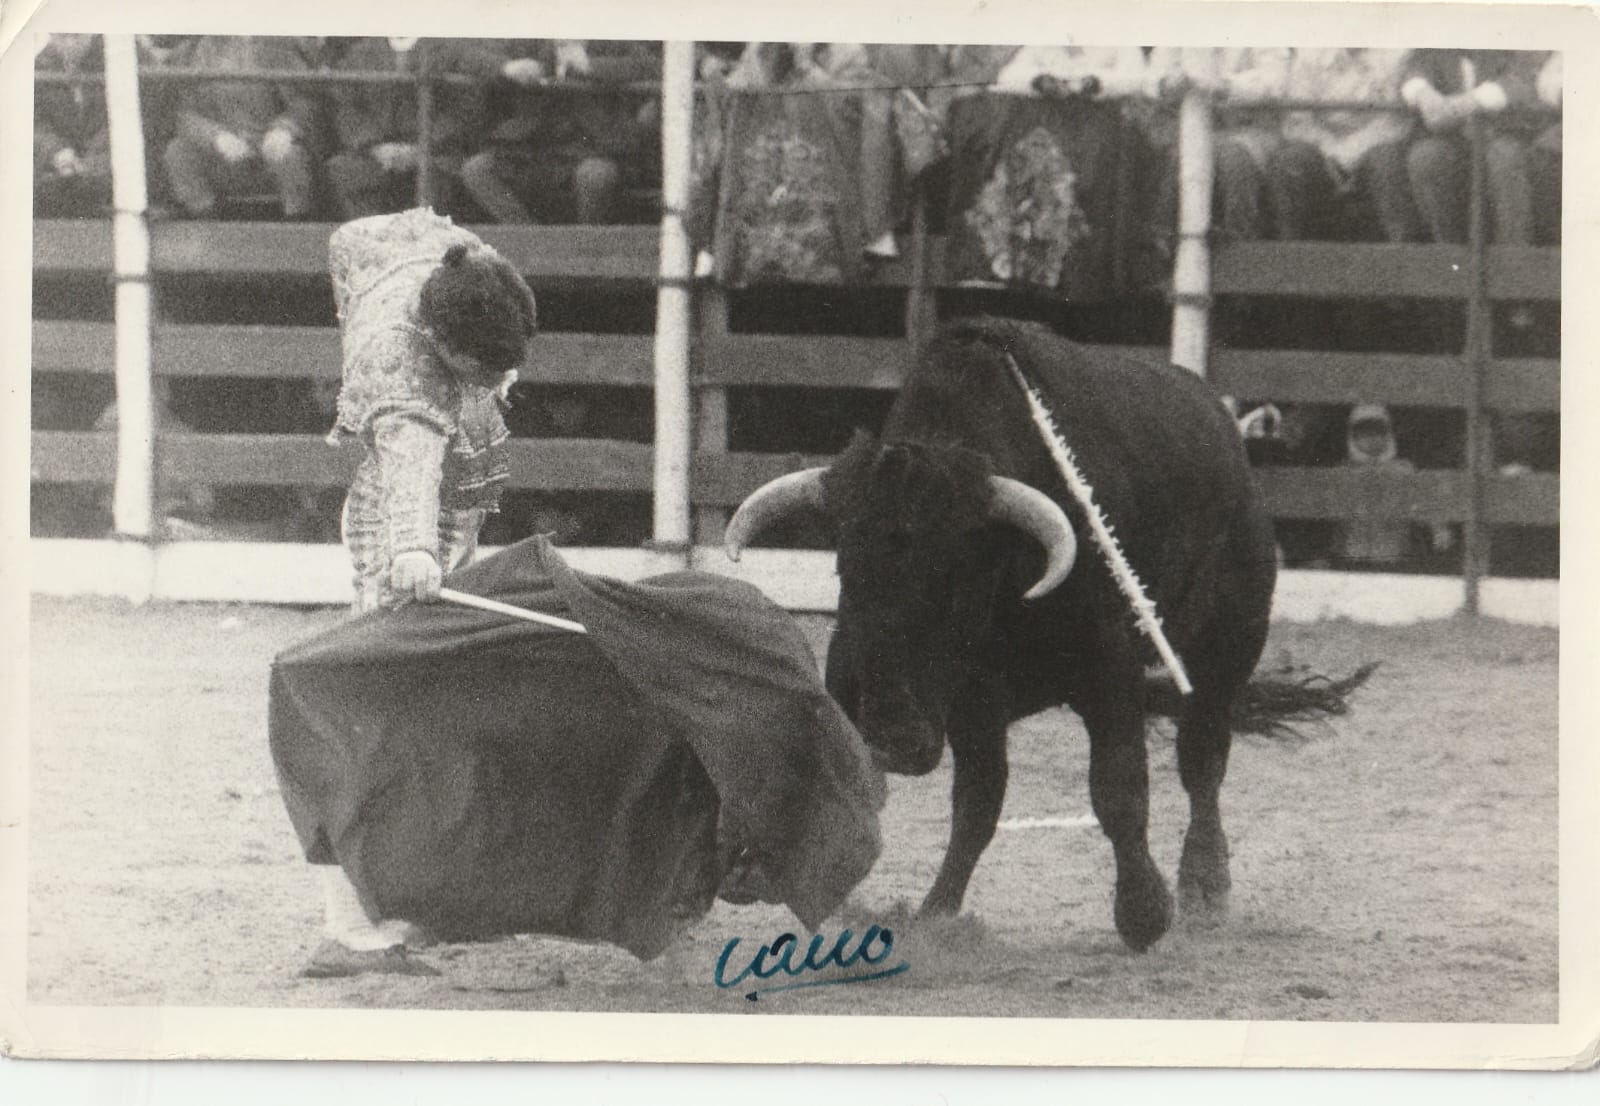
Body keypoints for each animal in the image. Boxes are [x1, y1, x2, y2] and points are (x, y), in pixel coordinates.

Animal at [726, 318, 1286, 953]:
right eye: (845, 568)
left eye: (956, 579)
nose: (887, 737)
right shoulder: (973, 706)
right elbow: (977, 803)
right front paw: (937, 910)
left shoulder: (1109, 674)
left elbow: (1118, 789)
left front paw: (1144, 912)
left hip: (1228, 650)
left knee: (1202, 762)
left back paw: (1205, 887)